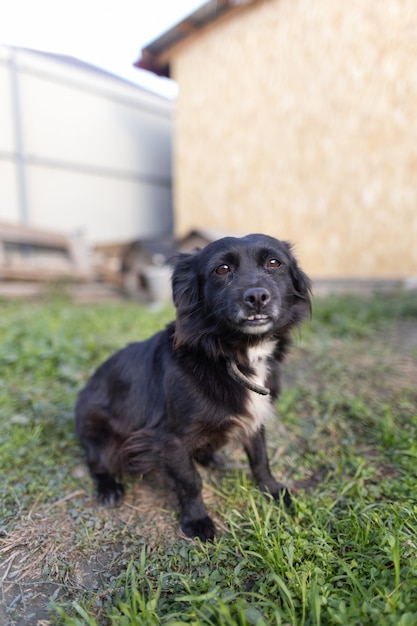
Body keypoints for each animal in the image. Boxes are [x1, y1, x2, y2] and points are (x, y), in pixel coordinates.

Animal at [75, 234, 310, 540]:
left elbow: (260, 459)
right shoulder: (171, 438)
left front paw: (273, 492)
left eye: (274, 263)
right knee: (96, 463)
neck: (233, 355)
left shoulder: (255, 418)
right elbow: (190, 481)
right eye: (222, 269)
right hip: (98, 433)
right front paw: (197, 520)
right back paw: (109, 488)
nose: (257, 297)